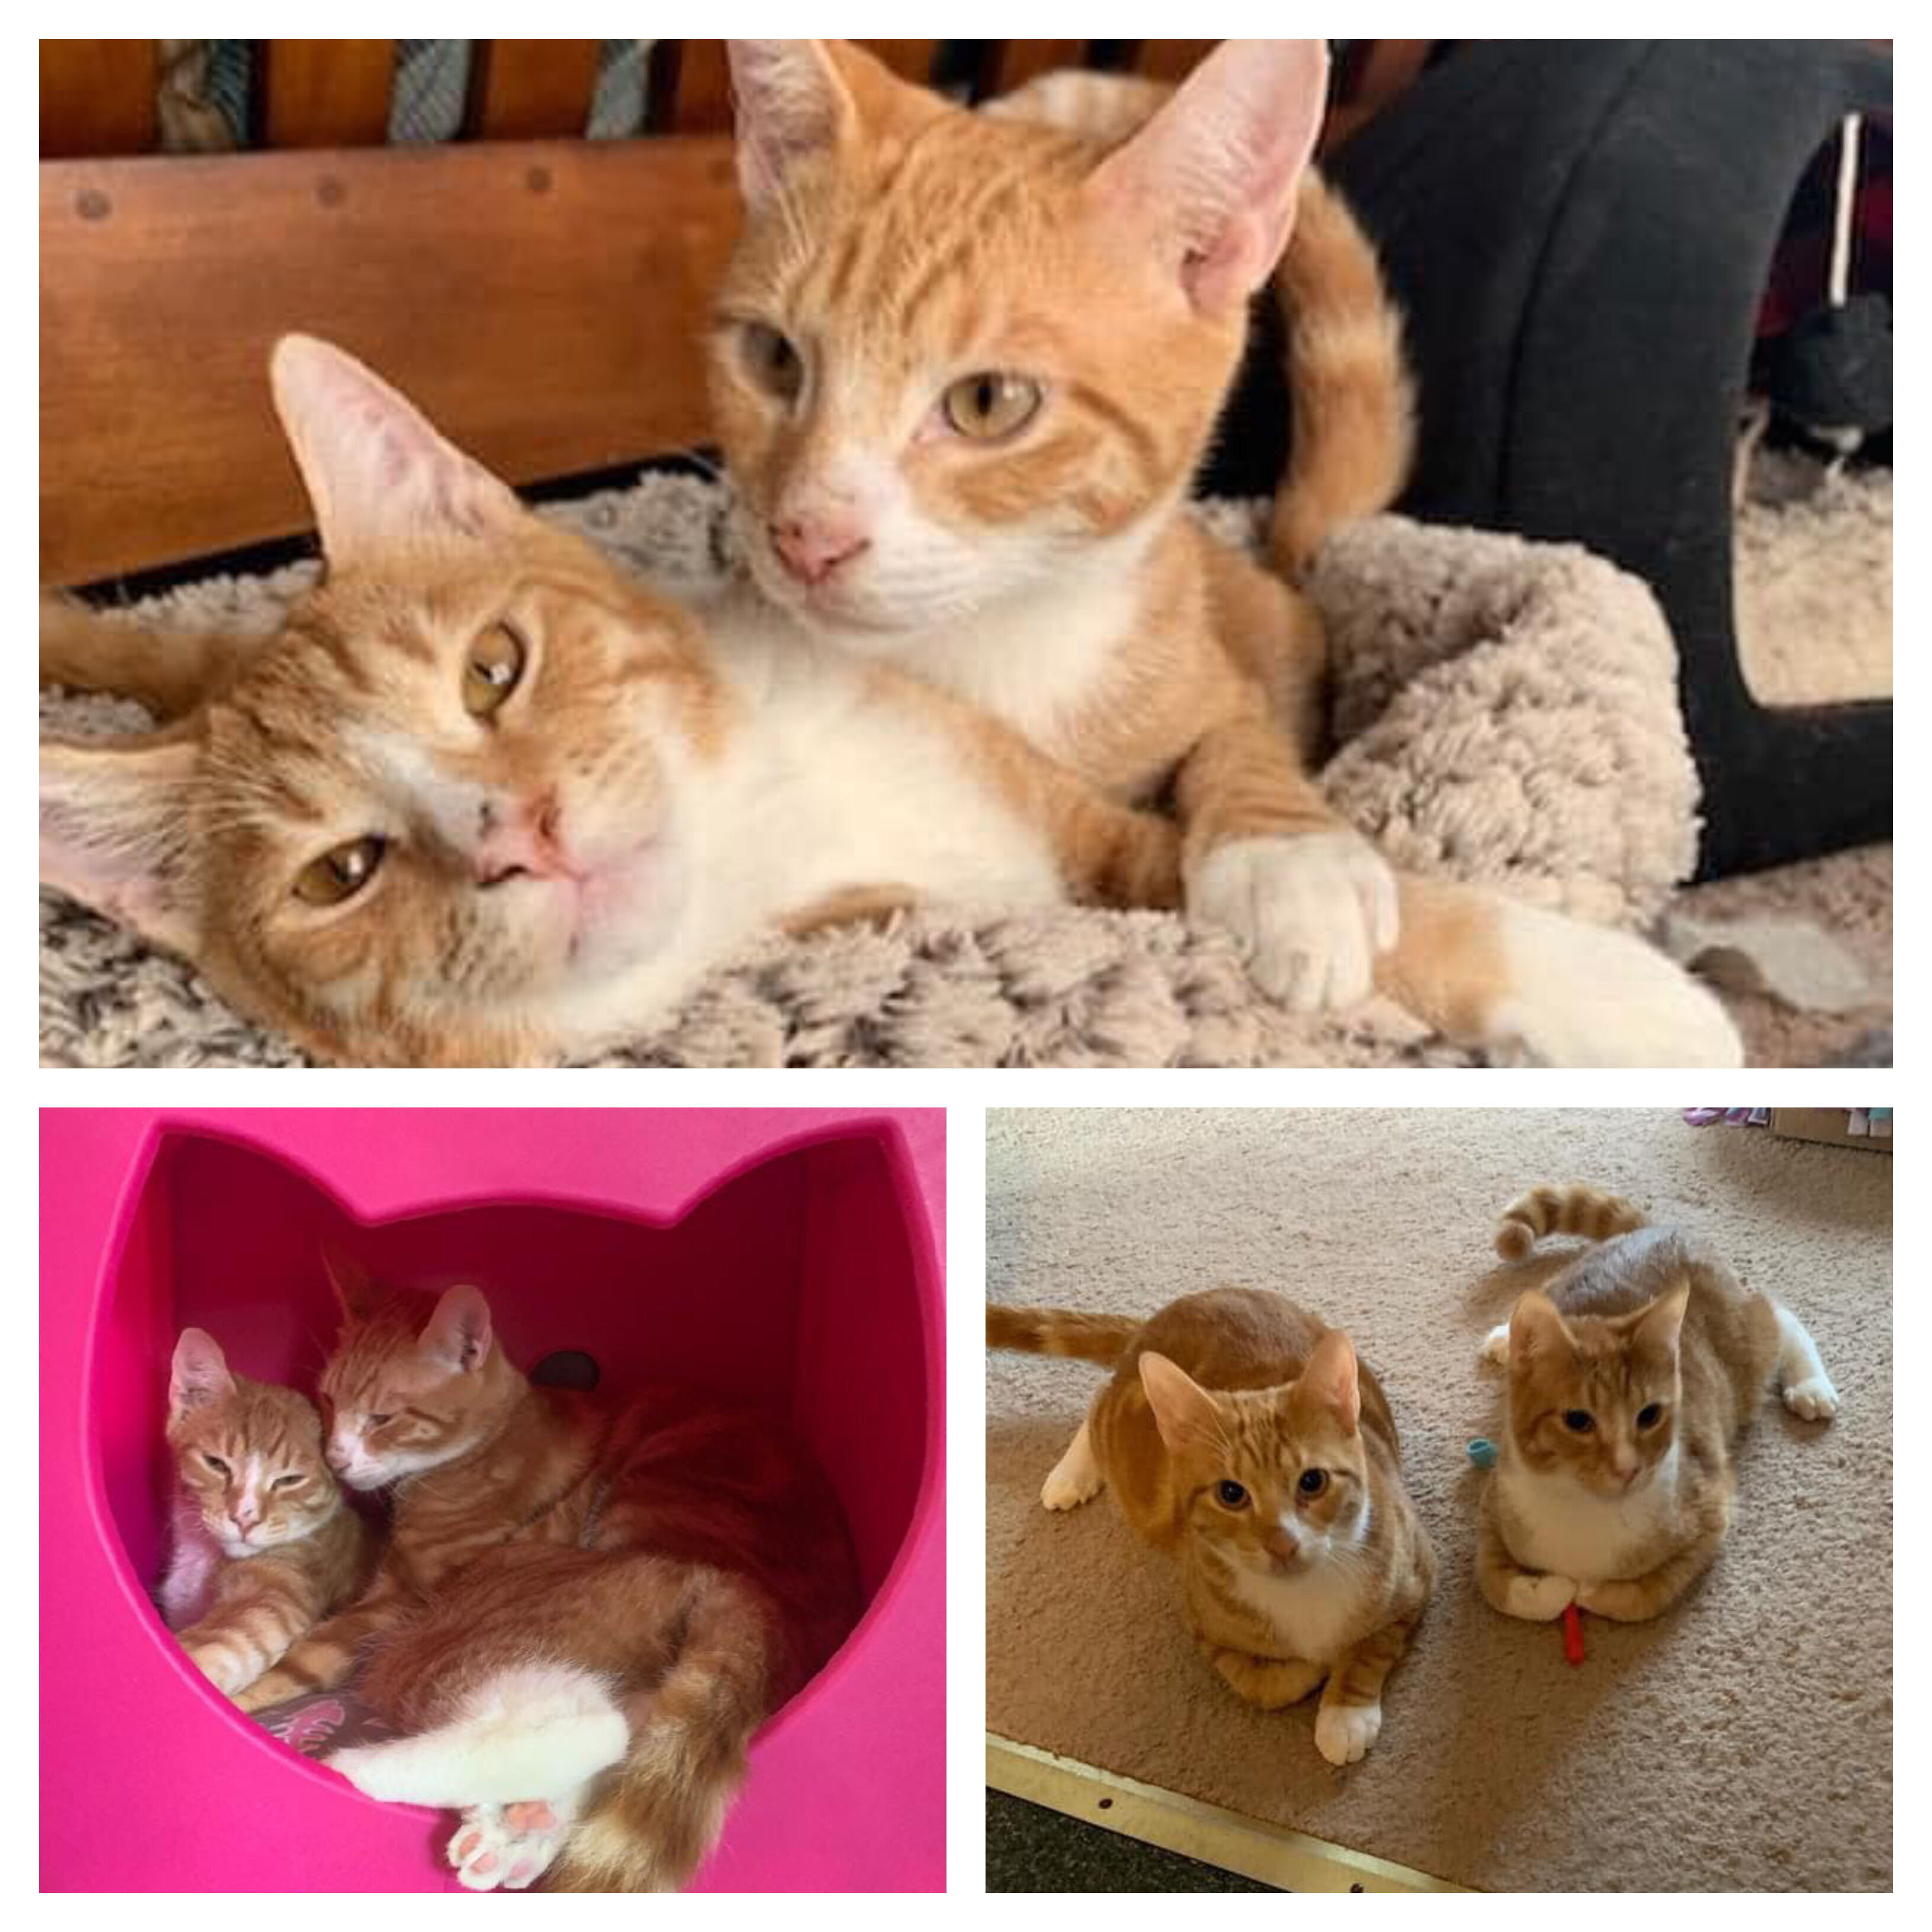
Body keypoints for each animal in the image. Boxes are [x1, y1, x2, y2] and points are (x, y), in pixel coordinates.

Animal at [158, 1337, 376, 1700]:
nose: (244, 1519)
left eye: (290, 1480)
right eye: (216, 1464)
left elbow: (223, 1644)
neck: (205, 1553)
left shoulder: (275, 1595)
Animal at [719, 41, 1746, 1074]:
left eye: (989, 402)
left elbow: (1241, 742)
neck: (986, 658)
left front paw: (1294, 863)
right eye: (774, 358)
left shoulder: (1207, 686)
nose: (808, 534)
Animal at [997, 1283, 1437, 1769]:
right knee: (1096, 1406)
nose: (1281, 1542)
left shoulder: (1417, 1577)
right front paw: (1315, 1668)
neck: (1303, 1594)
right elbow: (1267, 1684)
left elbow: (1371, 1647)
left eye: (1313, 1482)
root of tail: (1172, 1311)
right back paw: (1071, 1475)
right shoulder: (1202, 1625)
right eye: (1231, 1494)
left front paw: (1345, 1714)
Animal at [1476, 1182, 1839, 1622]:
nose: (1627, 1468)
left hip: (1746, 1350)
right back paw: (1504, 1339)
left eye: (1649, 1415)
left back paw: (1811, 1386)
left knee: (1779, 1317)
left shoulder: (1710, 1514)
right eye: (1578, 1420)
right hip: (1558, 1285)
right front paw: (1552, 1589)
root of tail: (1660, 1229)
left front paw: (1592, 1592)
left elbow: (1644, 1596)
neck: (1586, 1511)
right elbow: (1498, 1587)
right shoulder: (1491, 1510)